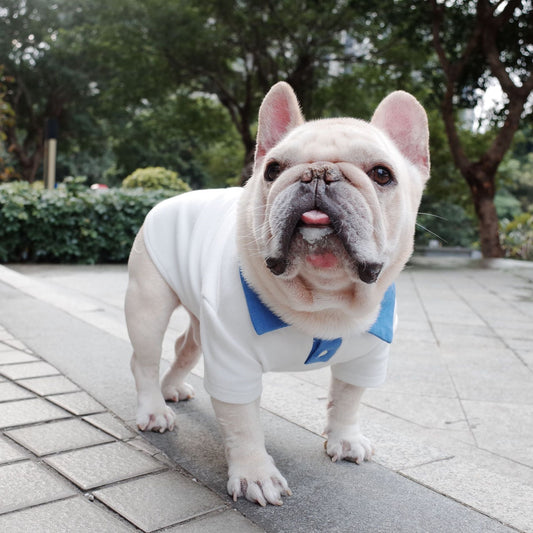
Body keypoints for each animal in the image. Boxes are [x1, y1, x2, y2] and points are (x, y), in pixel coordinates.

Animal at [124, 81, 428, 504]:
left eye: (382, 174)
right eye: (273, 170)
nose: (318, 173)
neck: (323, 297)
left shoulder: (367, 356)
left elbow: (349, 398)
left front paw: (345, 439)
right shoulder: (233, 363)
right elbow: (242, 423)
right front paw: (255, 474)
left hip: (202, 324)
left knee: (185, 346)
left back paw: (172, 388)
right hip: (148, 305)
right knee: (145, 360)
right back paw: (153, 409)